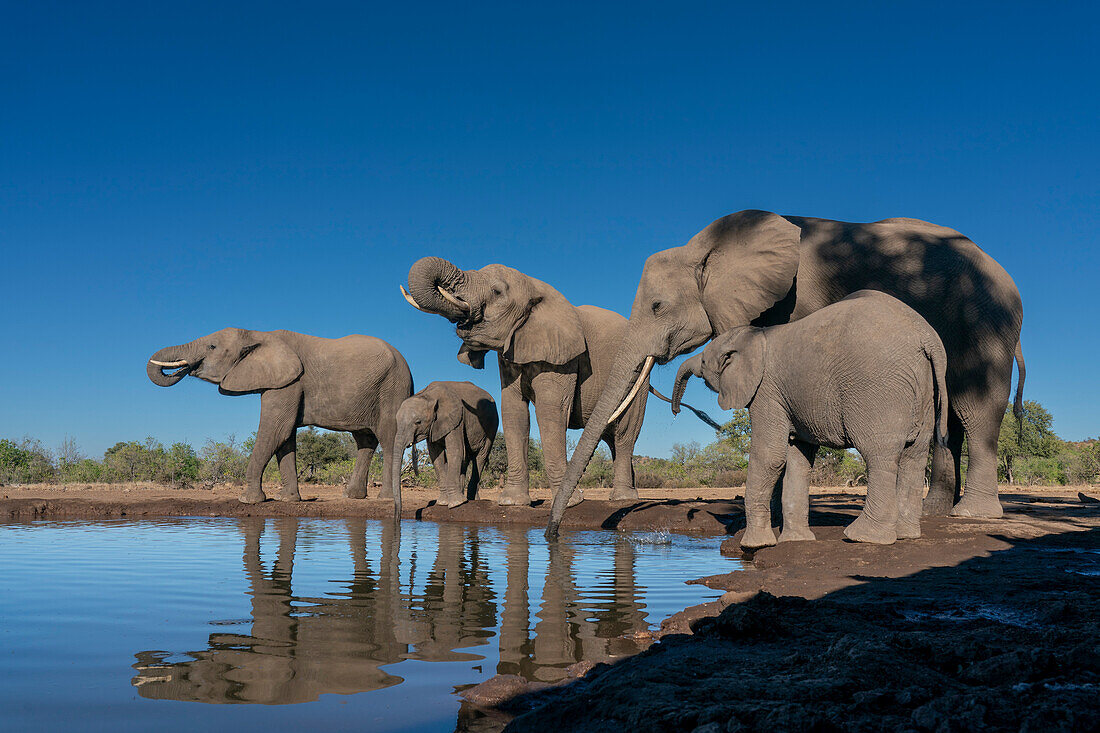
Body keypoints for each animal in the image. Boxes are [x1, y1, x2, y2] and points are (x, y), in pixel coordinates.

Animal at [391, 378, 499, 510]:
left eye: (418, 422)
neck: (428, 395)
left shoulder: (456, 419)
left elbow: (454, 451)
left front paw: (456, 504)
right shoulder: (434, 426)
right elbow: (436, 457)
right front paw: (443, 502)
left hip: (491, 426)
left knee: (480, 457)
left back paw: (471, 499)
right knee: (465, 459)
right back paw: (465, 497)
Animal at [400, 254, 646, 506]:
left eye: (497, 291)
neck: (535, 286)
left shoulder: (562, 355)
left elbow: (550, 411)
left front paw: (570, 502)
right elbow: (513, 412)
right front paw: (512, 502)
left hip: (636, 376)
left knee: (624, 434)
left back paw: (623, 499)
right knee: (611, 438)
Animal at [673, 288, 950, 545]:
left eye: (704, 362)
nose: (675, 412)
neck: (754, 334)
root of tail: (927, 337)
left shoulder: (765, 391)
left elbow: (770, 456)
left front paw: (756, 545)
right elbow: (798, 457)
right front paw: (796, 541)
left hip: (877, 386)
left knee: (879, 454)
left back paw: (863, 537)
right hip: (926, 387)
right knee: (914, 455)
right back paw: (906, 535)